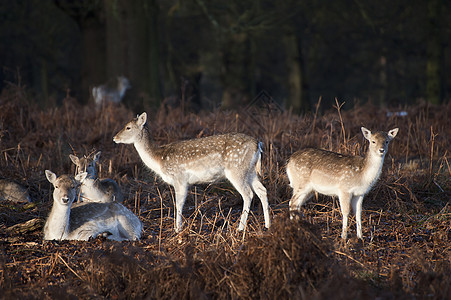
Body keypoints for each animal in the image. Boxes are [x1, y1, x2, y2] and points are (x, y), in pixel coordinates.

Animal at [113, 112, 272, 232]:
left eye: (128, 127)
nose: (114, 137)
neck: (159, 159)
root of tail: (258, 144)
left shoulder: (179, 178)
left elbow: (179, 204)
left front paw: (177, 229)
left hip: (236, 169)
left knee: (248, 194)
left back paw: (240, 228)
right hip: (250, 171)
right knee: (262, 190)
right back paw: (267, 225)